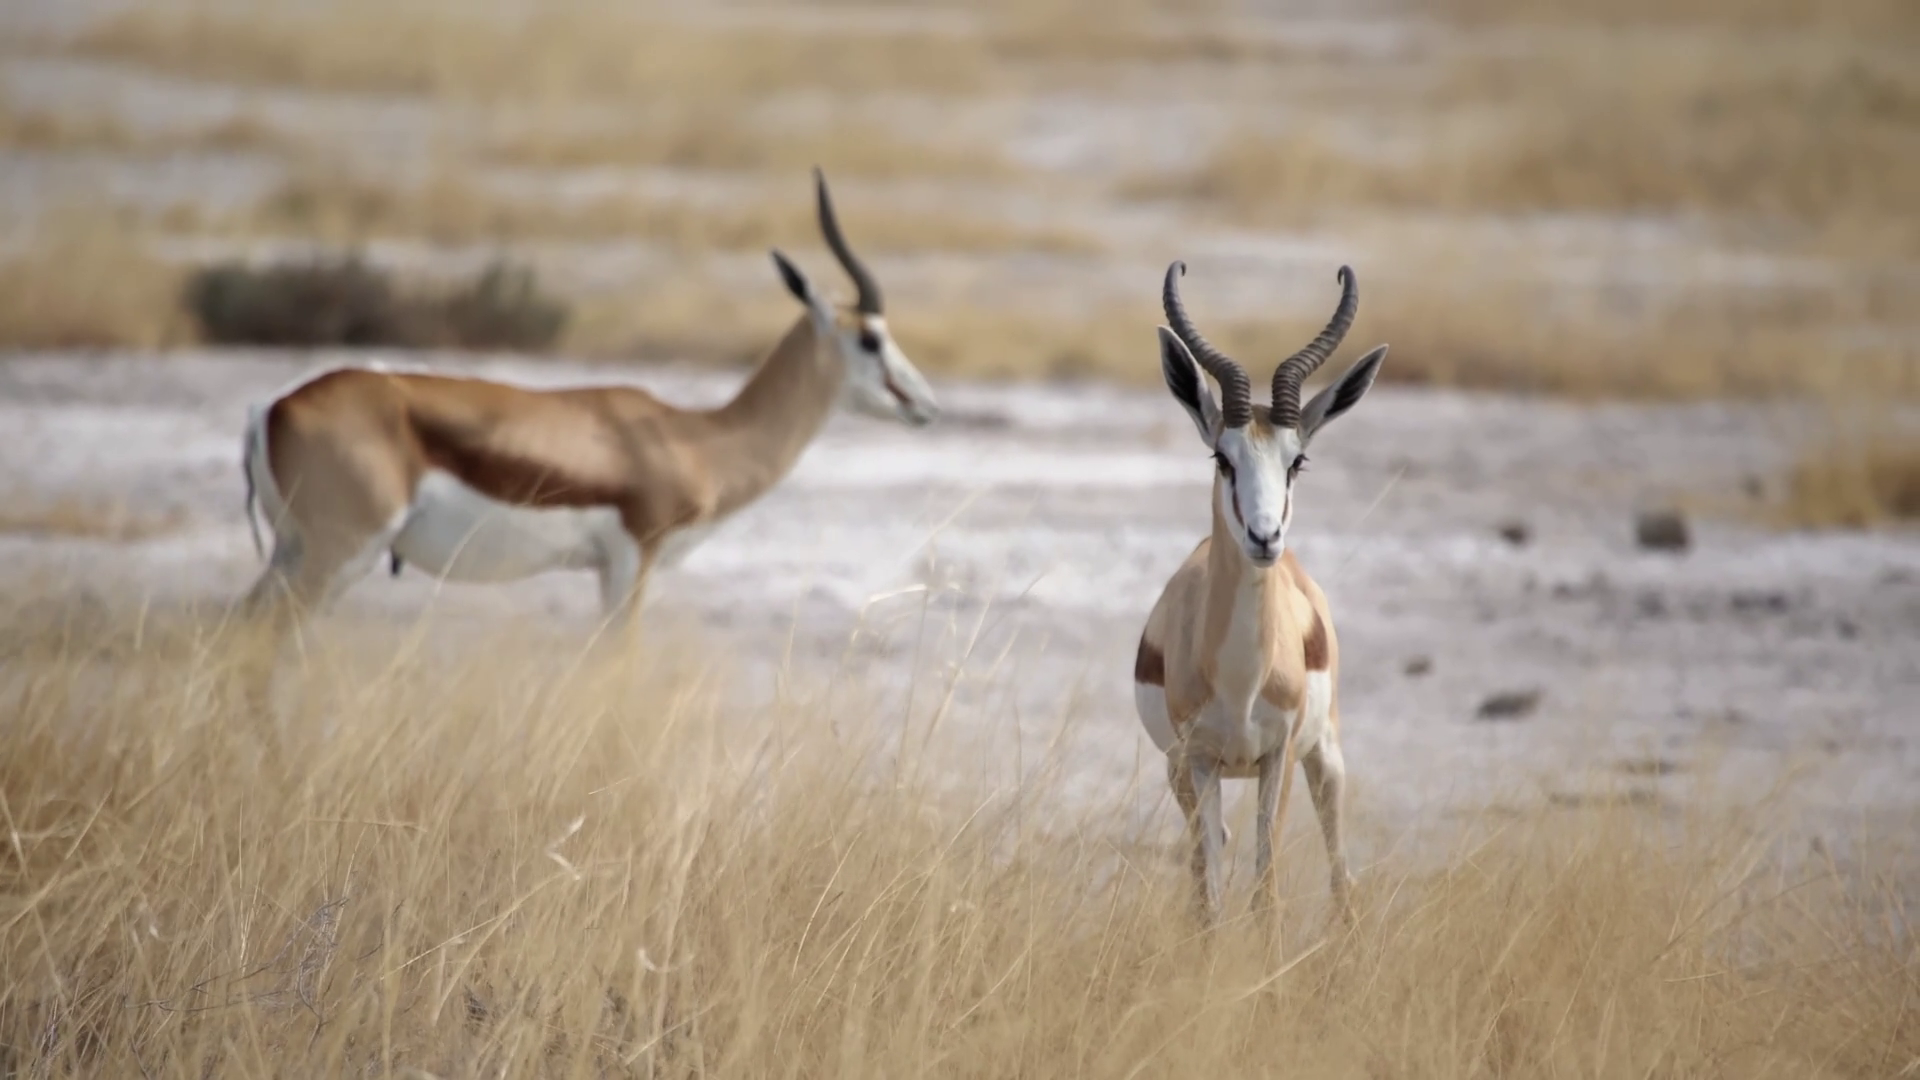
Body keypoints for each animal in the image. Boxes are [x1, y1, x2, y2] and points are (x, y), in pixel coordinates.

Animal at [235, 168, 938, 652]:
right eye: (870, 338)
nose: (927, 405)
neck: (694, 438)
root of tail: (272, 408)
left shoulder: (607, 572)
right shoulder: (632, 562)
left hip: (294, 552)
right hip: (340, 554)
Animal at [1134, 261, 1387, 926]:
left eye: (1297, 460)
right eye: (1221, 458)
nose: (1265, 536)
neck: (1240, 679)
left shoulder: (1278, 756)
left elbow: (1266, 889)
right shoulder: (1199, 760)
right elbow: (1210, 896)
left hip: (1323, 757)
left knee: (1340, 868)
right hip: (1183, 772)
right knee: (1210, 855)